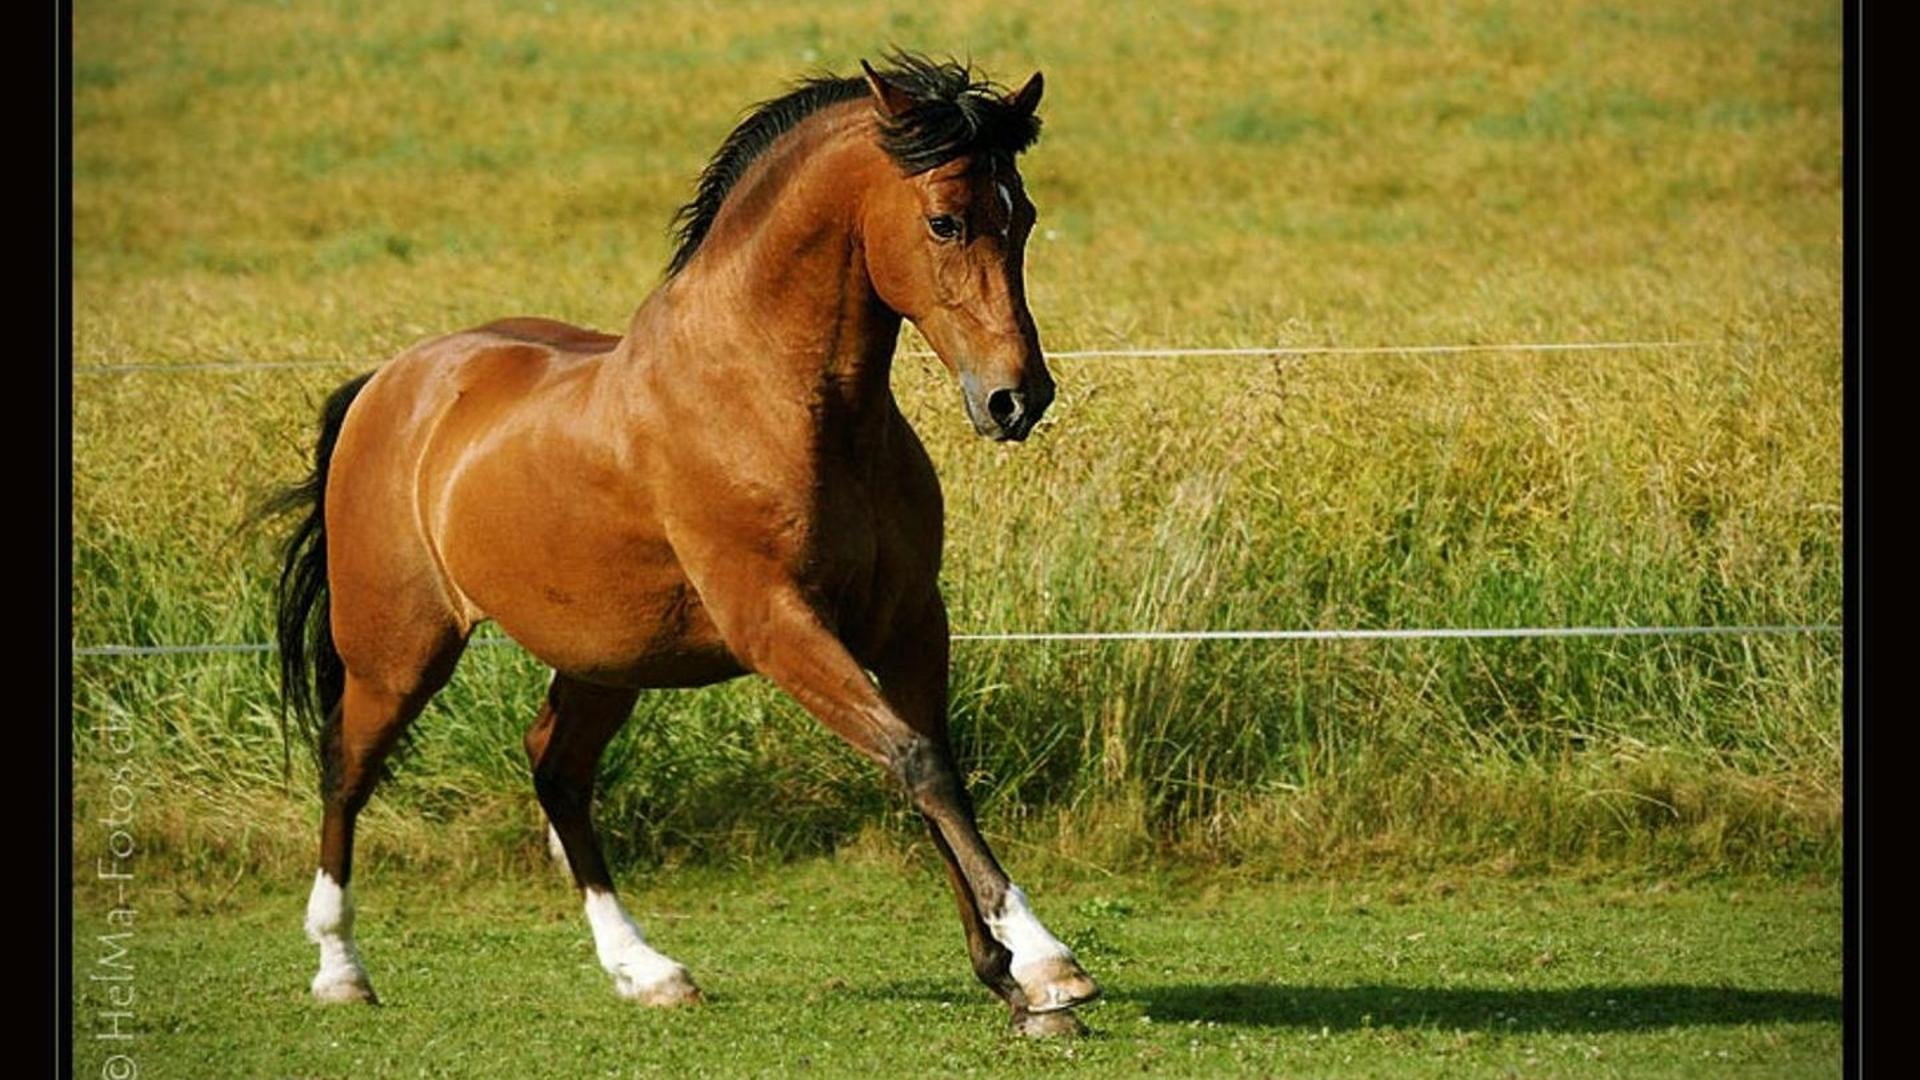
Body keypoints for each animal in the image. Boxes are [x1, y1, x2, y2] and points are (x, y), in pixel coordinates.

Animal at [261, 52, 1099, 1038]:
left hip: (603, 659)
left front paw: (1009, 980)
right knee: (347, 769)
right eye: (946, 219)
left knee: (557, 770)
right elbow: (917, 761)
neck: (778, 396)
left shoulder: (907, 622)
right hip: (398, 650)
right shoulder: (776, 625)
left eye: (1025, 216)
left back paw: (648, 971)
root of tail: (389, 384)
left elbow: (935, 769)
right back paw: (340, 970)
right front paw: (1047, 966)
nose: (1017, 399)